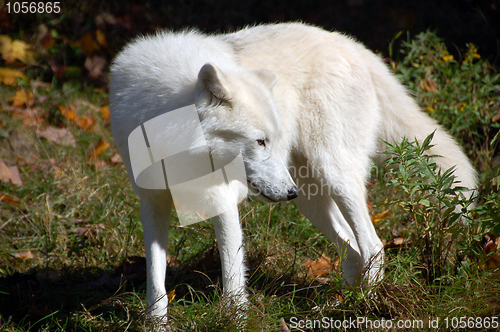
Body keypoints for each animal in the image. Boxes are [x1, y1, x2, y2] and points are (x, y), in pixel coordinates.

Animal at [110, 23, 476, 322]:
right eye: (260, 141)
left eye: (271, 139)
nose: (289, 192)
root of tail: (354, 46)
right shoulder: (152, 204)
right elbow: (155, 279)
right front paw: (156, 324)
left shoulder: (222, 198)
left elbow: (232, 275)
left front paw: (234, 320)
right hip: (310, 200)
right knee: (352, 250)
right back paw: (338, 303)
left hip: (334, 179)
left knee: (373, 247)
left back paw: (364, 307)